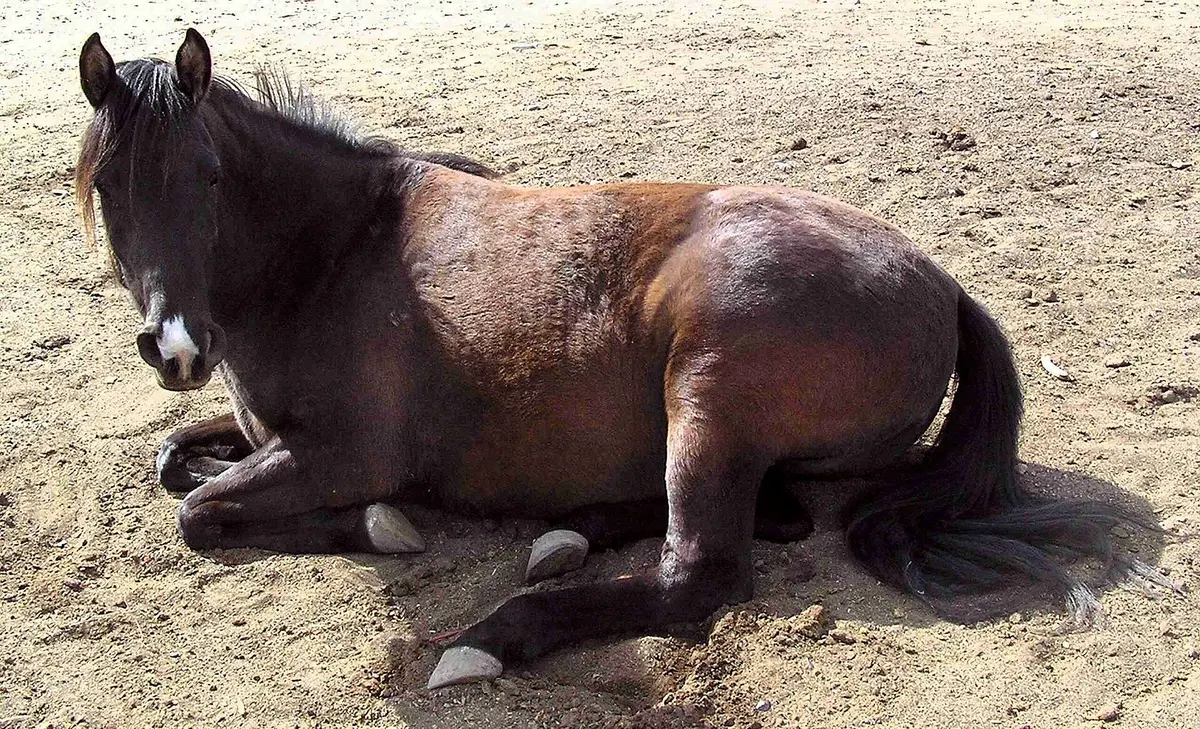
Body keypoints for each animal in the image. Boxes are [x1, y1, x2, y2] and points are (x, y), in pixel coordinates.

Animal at [76, 30, 1136, 689]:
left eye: (211, 177)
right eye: (108, 187)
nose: (175, 345)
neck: (337, 248)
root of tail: (941, 282)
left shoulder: (343, 454)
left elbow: (201, 514)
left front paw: (381, 526)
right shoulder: (260, 425)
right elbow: (175, 460)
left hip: (707, 401)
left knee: (700, 573)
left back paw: (492, 637)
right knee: (775, 515)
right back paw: (569, 532)